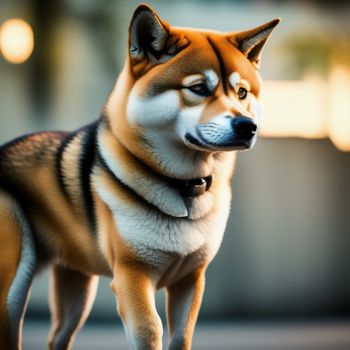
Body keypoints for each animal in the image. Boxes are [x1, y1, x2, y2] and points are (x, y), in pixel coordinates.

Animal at [0, 3, 278, 350]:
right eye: (198, 88)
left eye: (242, 92)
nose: (247, 126)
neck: (186, 189)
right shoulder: (132, 274)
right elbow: (149, 329)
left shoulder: (190, 279)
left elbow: (182, 336)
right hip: (14, 285)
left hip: (78, 292)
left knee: (57, 338)